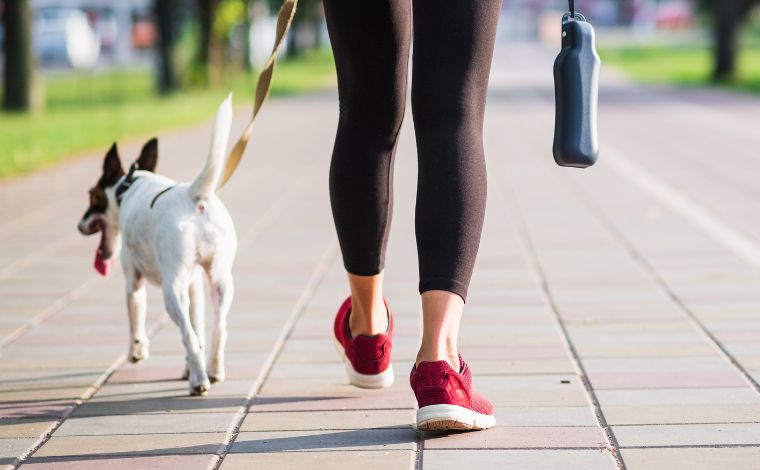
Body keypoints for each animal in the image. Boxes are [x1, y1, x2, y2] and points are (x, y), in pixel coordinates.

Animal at [78, 97, 235, 394]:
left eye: (92, 196)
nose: (79, 225)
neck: (129, 186)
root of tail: (193, 195)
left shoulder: (133, 281)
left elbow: (135, 321)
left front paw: (136, 352)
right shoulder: (194, 286)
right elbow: (199, 328)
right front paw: (187, 367)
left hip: (171, 291)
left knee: (187, 335)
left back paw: (199, 381)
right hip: (220, 282)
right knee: (218, 330)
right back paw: (213, 370)